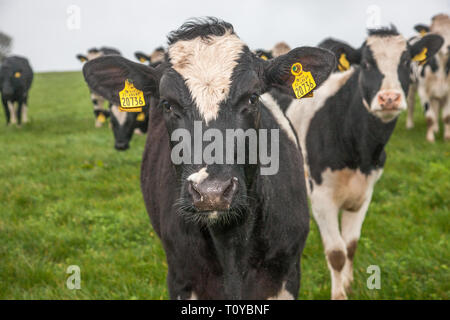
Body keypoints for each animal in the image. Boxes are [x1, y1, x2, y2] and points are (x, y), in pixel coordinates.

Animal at [83, 17, 338, 298]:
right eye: (167, 104)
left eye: (253, 97)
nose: (211, 192)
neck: (231, 246)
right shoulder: (181, 278)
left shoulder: (287, 273)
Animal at [284, 27, 442, 300]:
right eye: (366, 63)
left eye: (405, 61)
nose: (389, 98)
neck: (361, 152)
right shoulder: (321, 197)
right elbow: (336, 253)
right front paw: (339, 295)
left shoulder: (365, 193)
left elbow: (350, 245)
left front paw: (348, 284)